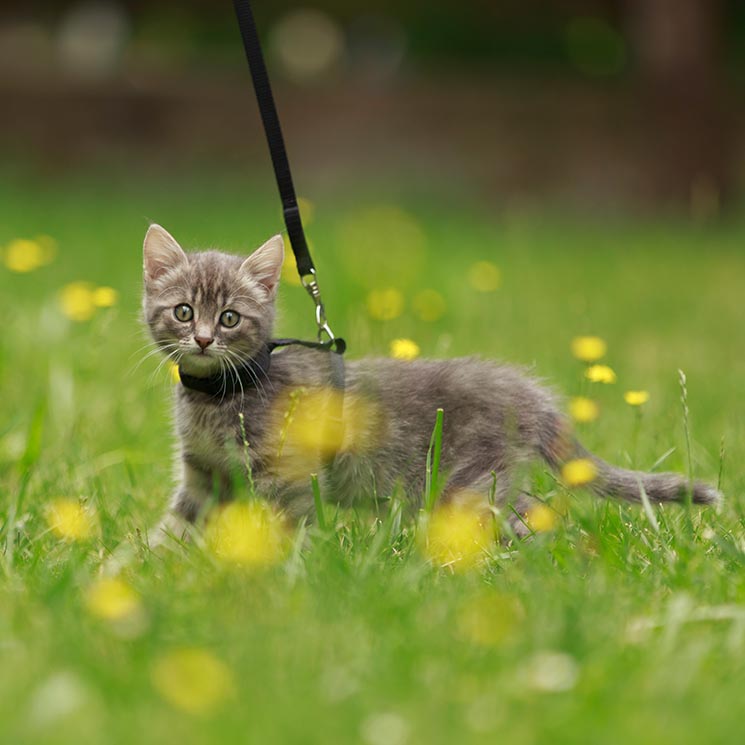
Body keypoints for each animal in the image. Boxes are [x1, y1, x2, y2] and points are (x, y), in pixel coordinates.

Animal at [142, 224, 716, 544]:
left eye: (230, 319)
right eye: (184, 311)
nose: (202, 340)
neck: (219, 394)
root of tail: (527, 393)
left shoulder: (286, 477)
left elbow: (282, 527)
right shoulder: (203, 475)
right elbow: (175, 527)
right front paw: (144, 569)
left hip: (469, 484)